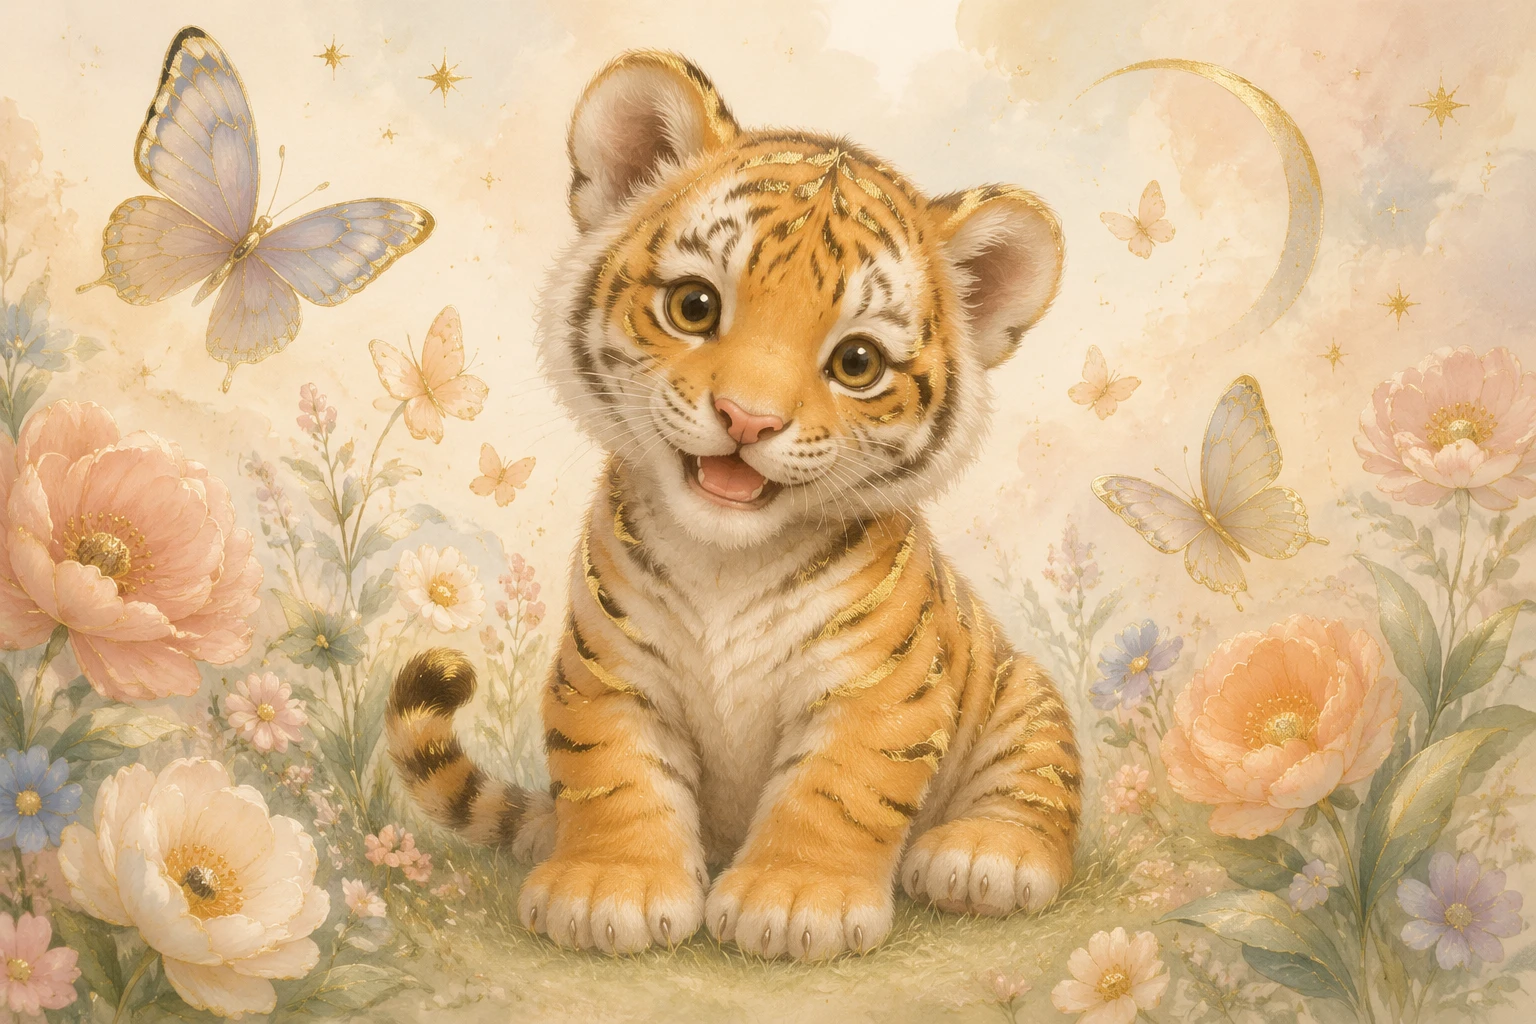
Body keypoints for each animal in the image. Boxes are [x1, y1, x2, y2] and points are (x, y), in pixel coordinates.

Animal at [386, 49, 1080, 961]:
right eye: (695, 306)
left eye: (857, 363)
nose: (748, 419)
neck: (726, 559)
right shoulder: (607, 669)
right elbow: (611, 774)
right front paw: (607, 889)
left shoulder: (878, 690)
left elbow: (838, 789)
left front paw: (793, 901)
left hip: (1020, 696)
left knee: (1037, 783)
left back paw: (983, 855)